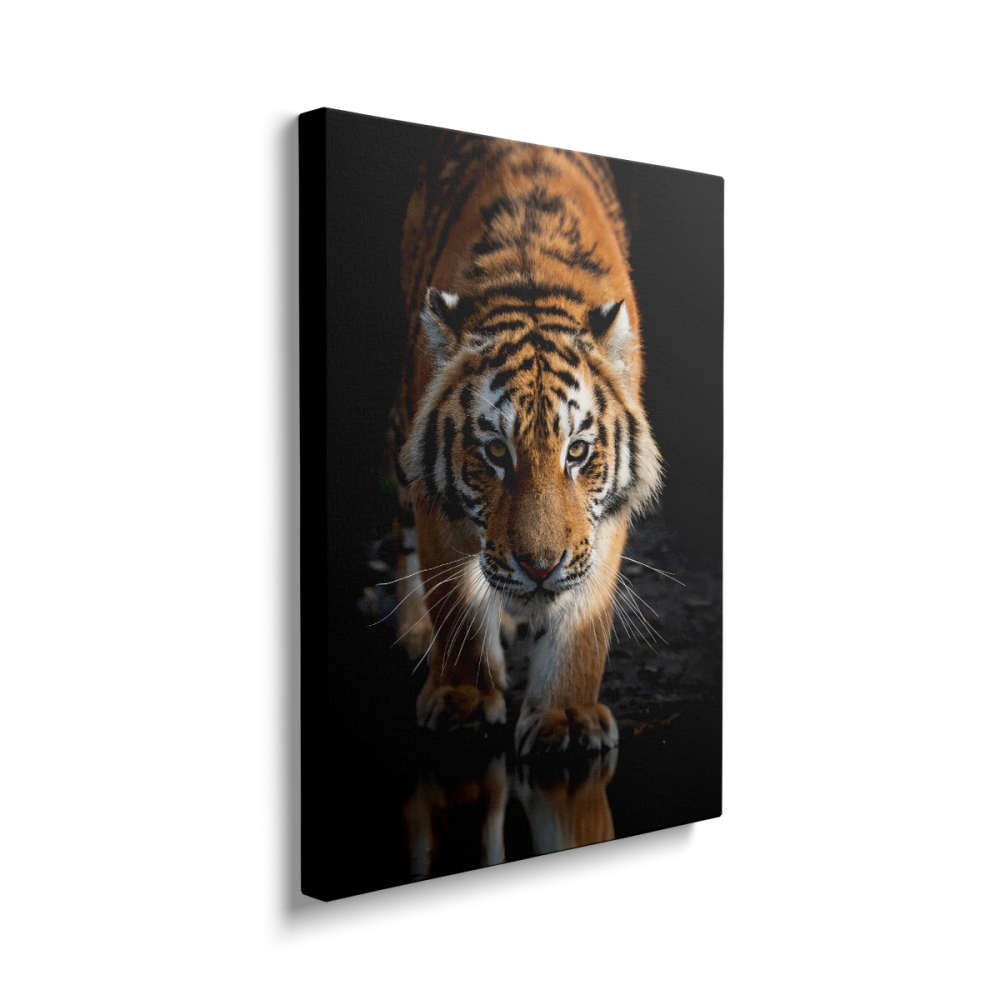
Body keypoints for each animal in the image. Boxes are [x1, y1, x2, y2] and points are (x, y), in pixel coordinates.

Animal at [390, 134, 662, 755]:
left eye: (577, 453)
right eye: (495, 452)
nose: (540, 568)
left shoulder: (601, 520)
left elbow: (583, 626)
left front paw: (567, 717)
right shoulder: (437, 503)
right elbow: (455, 604)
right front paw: (462, 700)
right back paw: (416, 629)